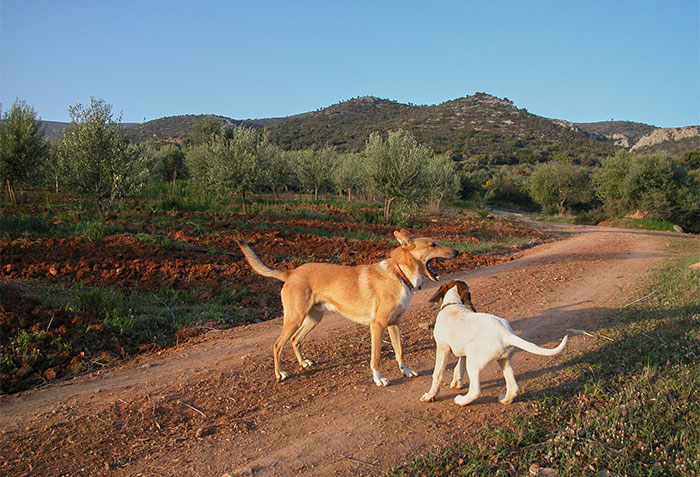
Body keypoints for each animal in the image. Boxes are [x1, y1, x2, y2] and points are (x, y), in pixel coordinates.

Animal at [238, 229, 456, 384]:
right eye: (433, 244)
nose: (457, 252)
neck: (399, 274)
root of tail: (291, 273)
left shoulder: (394, 324)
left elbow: (399, 352)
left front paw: (406, 371)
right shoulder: (377, 326)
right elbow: (376, 357)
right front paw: (378, 379)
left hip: (313, 318)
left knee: (294, 340)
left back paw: (303, 362)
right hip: (295, 318)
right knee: (277, 345)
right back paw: (279, 373)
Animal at [418, 278, 568, 406]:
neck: (453, 305)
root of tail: (506, 333)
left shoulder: (443, 348)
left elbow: (437, 374)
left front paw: (431, 395)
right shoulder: (464, 351)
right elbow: (459, 366)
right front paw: (457, 382)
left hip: (474, 363)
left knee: (475, 390)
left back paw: (462, 401)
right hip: (504, 360)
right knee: (513, 387)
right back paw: (505, 399)